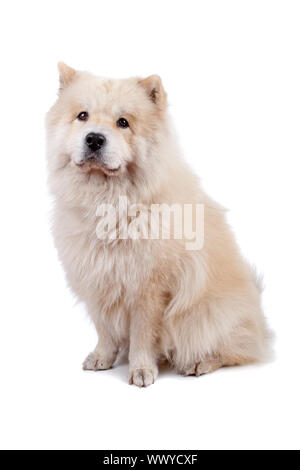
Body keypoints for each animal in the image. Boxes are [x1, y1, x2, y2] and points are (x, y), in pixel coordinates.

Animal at [45, 62, 270, 386]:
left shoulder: (148, 289)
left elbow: (142, 335)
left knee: (232, 349)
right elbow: (104, 328)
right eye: (82, 116)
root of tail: (260, 319)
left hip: (207, 313)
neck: (110, 204)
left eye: (123, 123)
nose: (94, 138)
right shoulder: (97, 279)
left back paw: (199, 362)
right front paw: (103, 357)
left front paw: (141, 369)